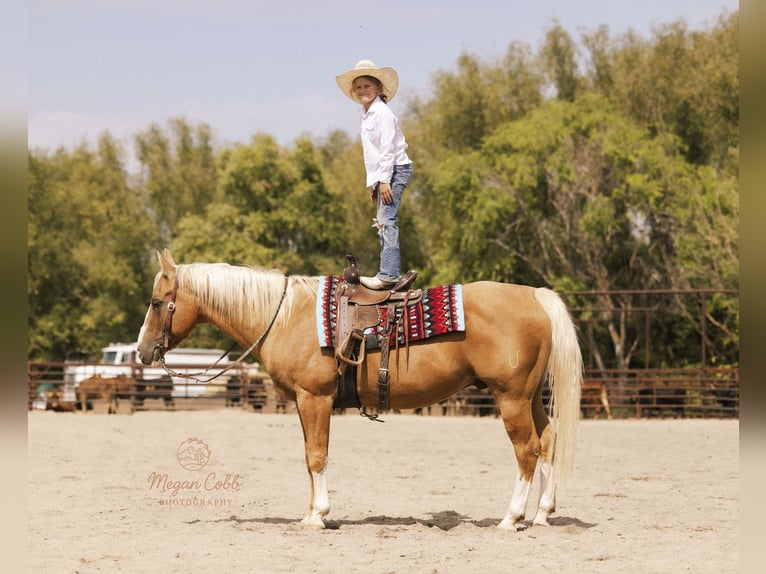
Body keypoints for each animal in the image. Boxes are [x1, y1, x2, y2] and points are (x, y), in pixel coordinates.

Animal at [136, 249, 583, 531]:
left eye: (157, 302)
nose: (141, 351)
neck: (285, 316)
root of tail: (535, 296)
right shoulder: (305, 402)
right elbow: (309, 457)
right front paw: (310, 513)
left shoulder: (315, 398)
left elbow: (317, 457)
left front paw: (318, 516)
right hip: (530, 398)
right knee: (548, 442)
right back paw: (542, 513)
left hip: (510, 398)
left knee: (526, 450)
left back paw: (511, 518)